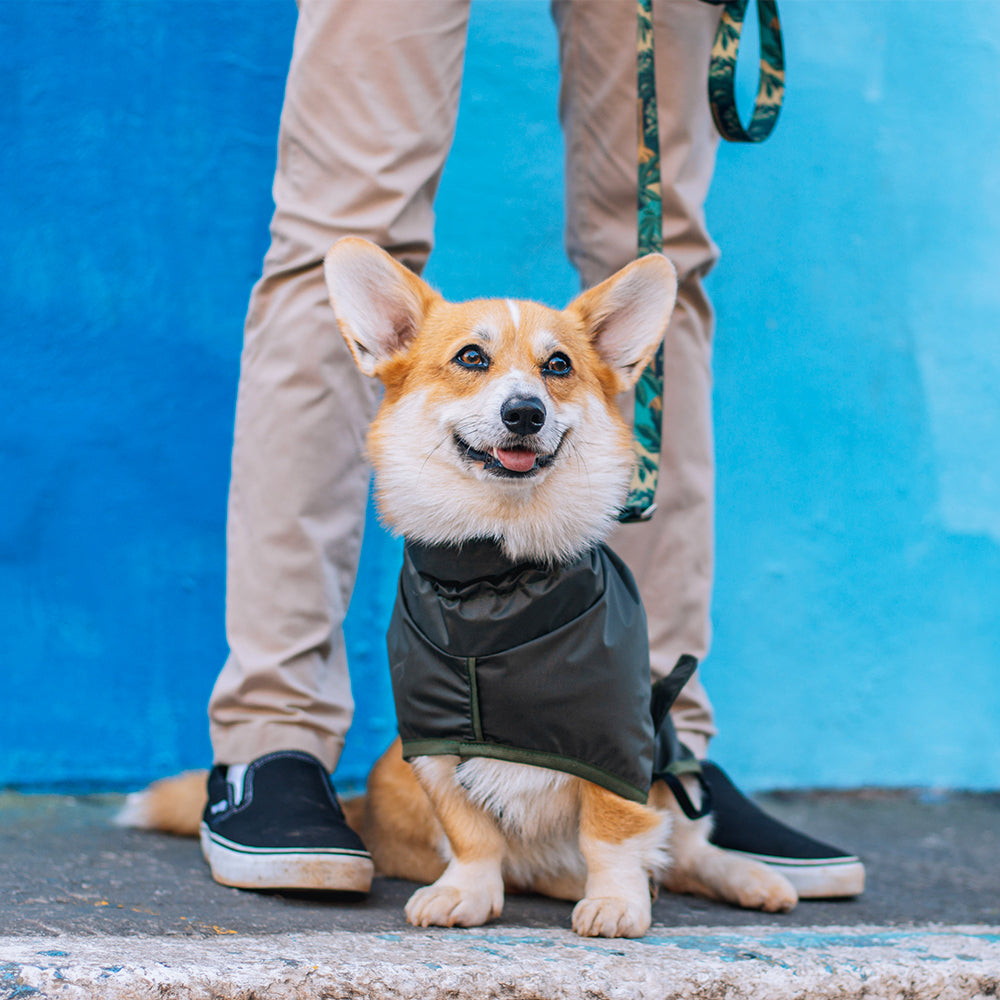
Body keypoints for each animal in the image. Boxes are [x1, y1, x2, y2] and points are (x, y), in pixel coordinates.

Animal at [121, 240, 796, 936]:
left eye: (558, 365)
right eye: (472, 357)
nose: (524, 412)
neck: (494, 572)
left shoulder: (614, 741)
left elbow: (611, 832)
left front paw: (615, 901)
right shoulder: (435, 740)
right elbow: (470, 832)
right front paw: (467, 892)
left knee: (689, 845)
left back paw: (751, 877)